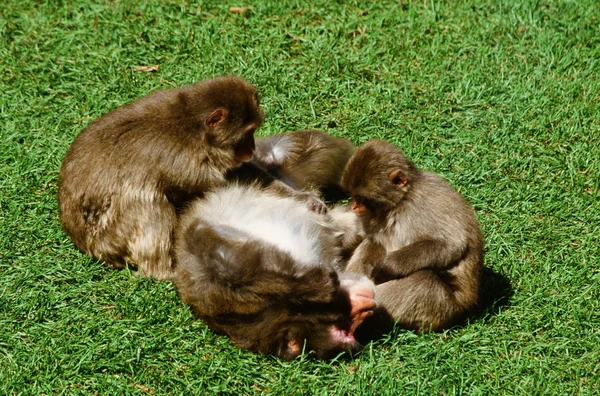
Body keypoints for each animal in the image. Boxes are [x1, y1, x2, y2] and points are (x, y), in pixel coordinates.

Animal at [340, 139, 486, 332]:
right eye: (354, 196)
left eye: (363, 199)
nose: (355, 206)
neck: (401, 202)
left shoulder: (420, 205)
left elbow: (451, 244)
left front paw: (385, 267)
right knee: (374, 243)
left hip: (443, 310)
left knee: (423, 280)